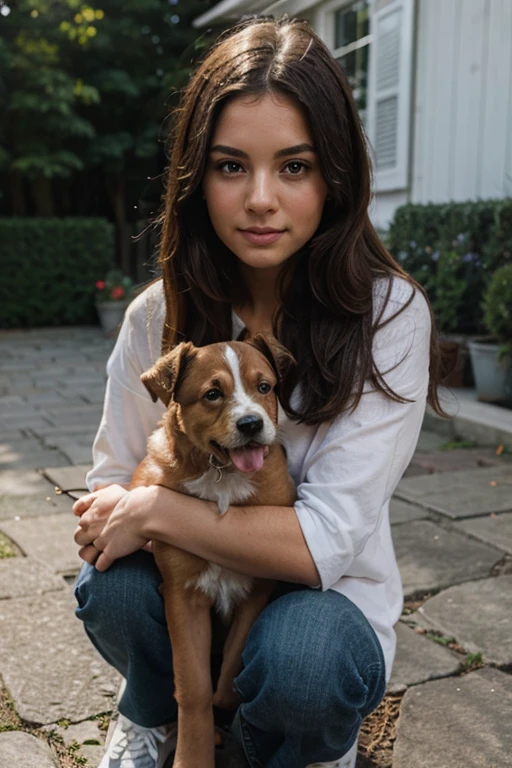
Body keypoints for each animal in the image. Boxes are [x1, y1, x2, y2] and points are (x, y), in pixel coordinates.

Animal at [129, 334, 296, 768]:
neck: (223, 475)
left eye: (264, 387)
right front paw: (194, 752)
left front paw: (225, 708)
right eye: (212, 394)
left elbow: (231, 667)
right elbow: (193, 686)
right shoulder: (182, 594)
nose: (251, 424)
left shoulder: (258, 586)